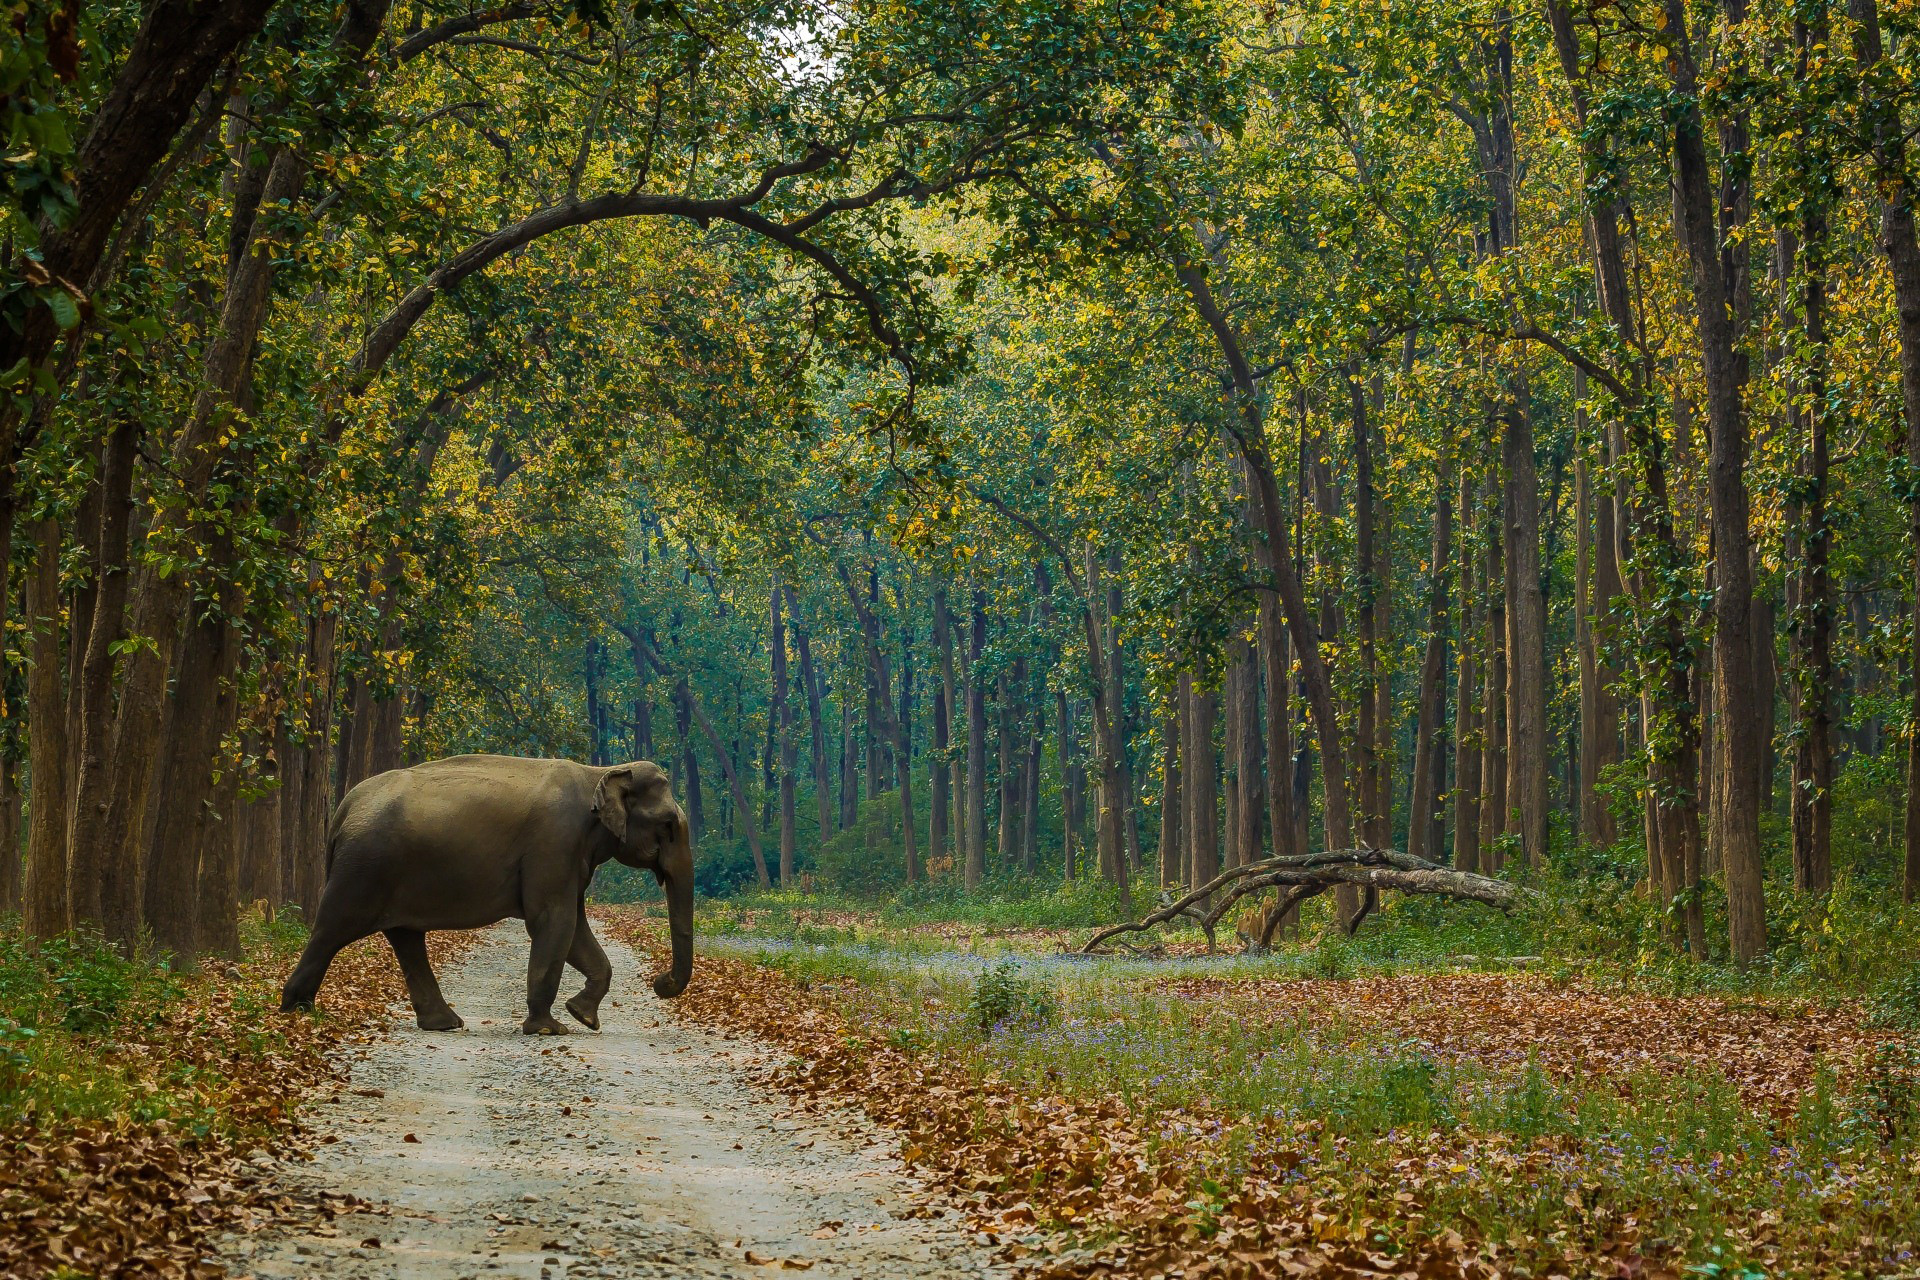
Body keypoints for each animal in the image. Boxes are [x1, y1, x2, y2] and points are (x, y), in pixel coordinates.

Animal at [279, 754, 694, 1035]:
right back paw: (297, 1011)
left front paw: (583, 1016)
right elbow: (553, 921)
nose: (661, 984)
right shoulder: (554, 844)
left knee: (406, 938)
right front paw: (549, 1028)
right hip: (364, 867)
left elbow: (574, 927)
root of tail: (344, 808)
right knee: (331, 930)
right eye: (668, 825)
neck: (598, 772)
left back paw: (444, 1023)